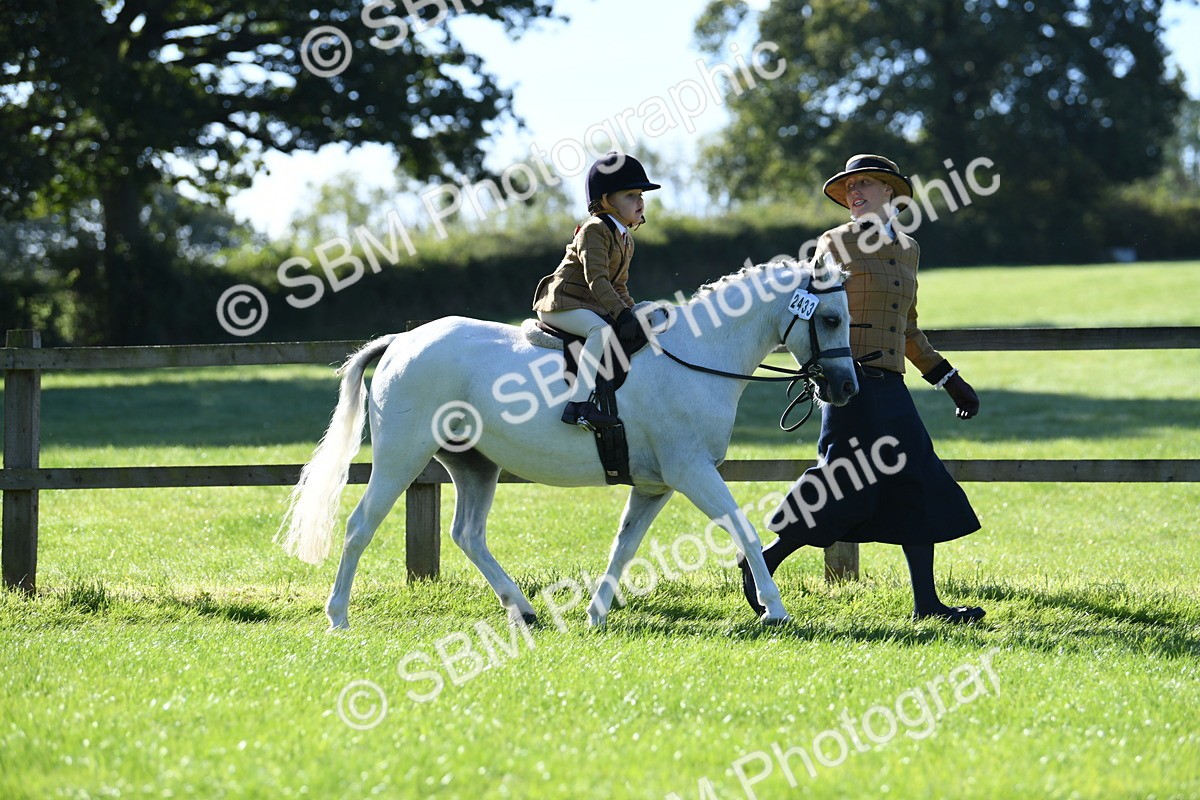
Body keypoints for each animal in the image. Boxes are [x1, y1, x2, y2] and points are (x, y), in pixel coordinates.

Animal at [278, 259, 858, 630]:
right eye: (831, 319)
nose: (846, 388)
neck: (697, 356)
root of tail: (402, 341)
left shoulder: (655, 486)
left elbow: (624, 545)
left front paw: (596, 613)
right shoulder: (692, 471)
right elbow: (742, 528)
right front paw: (774, 609)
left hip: (473, 465)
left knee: (468, 534)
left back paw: (522, 608)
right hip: (402, 458)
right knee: (360, 527)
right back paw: (337, 616)